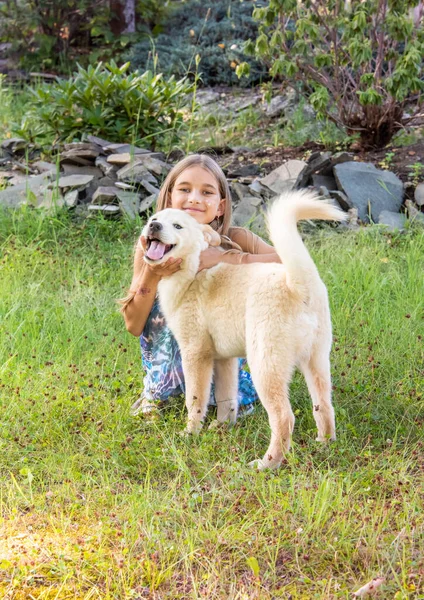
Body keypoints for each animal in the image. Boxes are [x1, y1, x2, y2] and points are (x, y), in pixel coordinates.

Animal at [142, 189, 348, 468]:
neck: (193, 270)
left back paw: (266, 464)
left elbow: (194, 400)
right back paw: (324, 444)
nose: (153, 226)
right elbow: (227, 398)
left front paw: (189, 433)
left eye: (177, 226)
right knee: (324, 406)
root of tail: (298, 285)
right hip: (316, 362)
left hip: (265, 366)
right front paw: (221, 427)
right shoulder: (224, 359)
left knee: (284, 418)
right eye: (155, 219)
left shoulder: (195, 354)